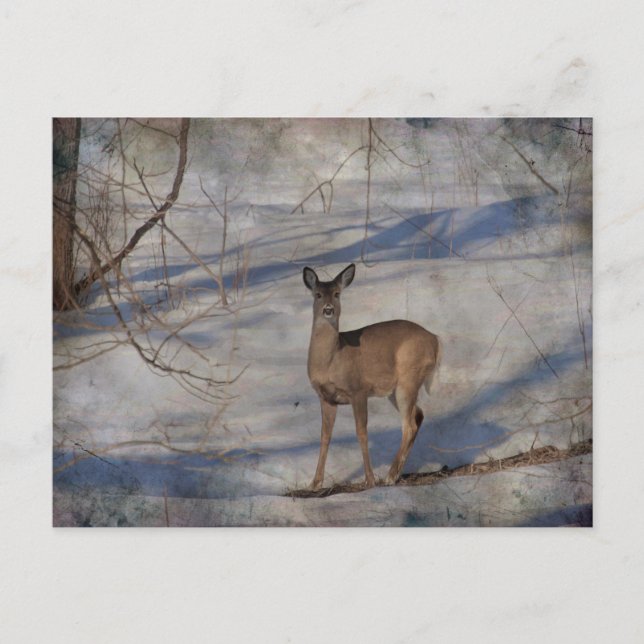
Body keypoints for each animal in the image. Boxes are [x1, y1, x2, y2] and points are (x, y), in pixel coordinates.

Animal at [303, 263, 441, 490]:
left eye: (337, 293)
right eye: (318, 294)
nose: (328, 309)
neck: (332, 359)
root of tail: (436, 339)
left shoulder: (358, 390)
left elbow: (361, 432)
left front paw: (369, 479)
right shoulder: (325, 397)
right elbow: (325, 436)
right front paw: (315, 483)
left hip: (408, 378)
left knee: (409, 424)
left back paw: (389, 476)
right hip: (394, 390)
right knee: (418, 415)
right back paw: (396, 473)